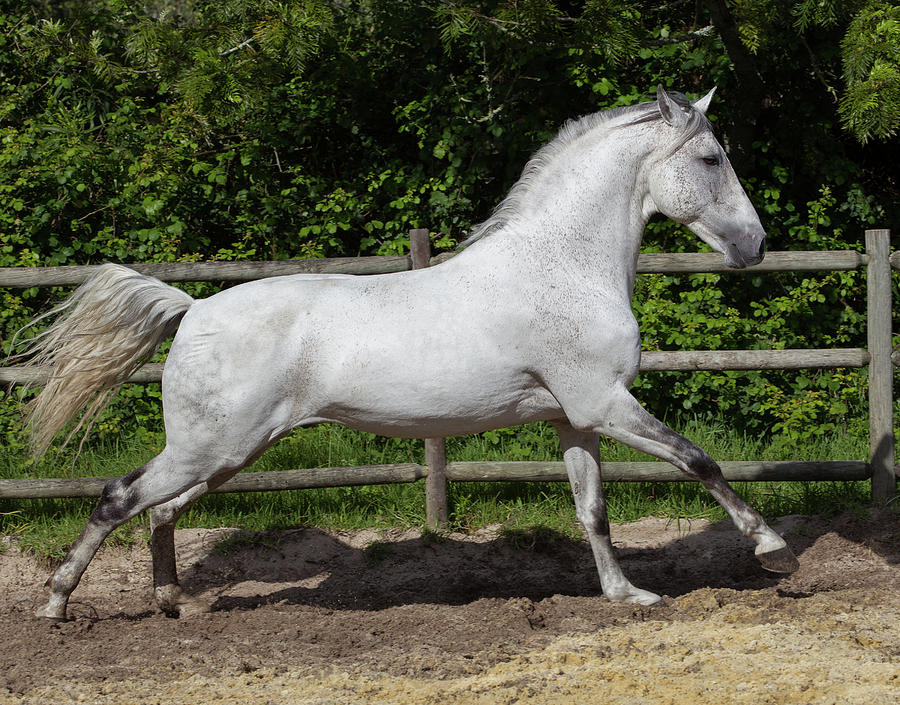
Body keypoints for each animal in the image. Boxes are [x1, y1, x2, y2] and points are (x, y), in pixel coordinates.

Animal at [21, 85, 796, 620]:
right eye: (711, 158)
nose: (755, 245)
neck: (566, 266)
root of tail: (194, 310)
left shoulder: (572, 418)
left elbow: (594, 512)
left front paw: (626, 595)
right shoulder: (605, 403)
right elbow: (698, 459)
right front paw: (773, 551)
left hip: (228, 453)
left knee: (159, 511)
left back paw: (172, 602)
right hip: (210, 447)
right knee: (121, 497)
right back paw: (56, 604)